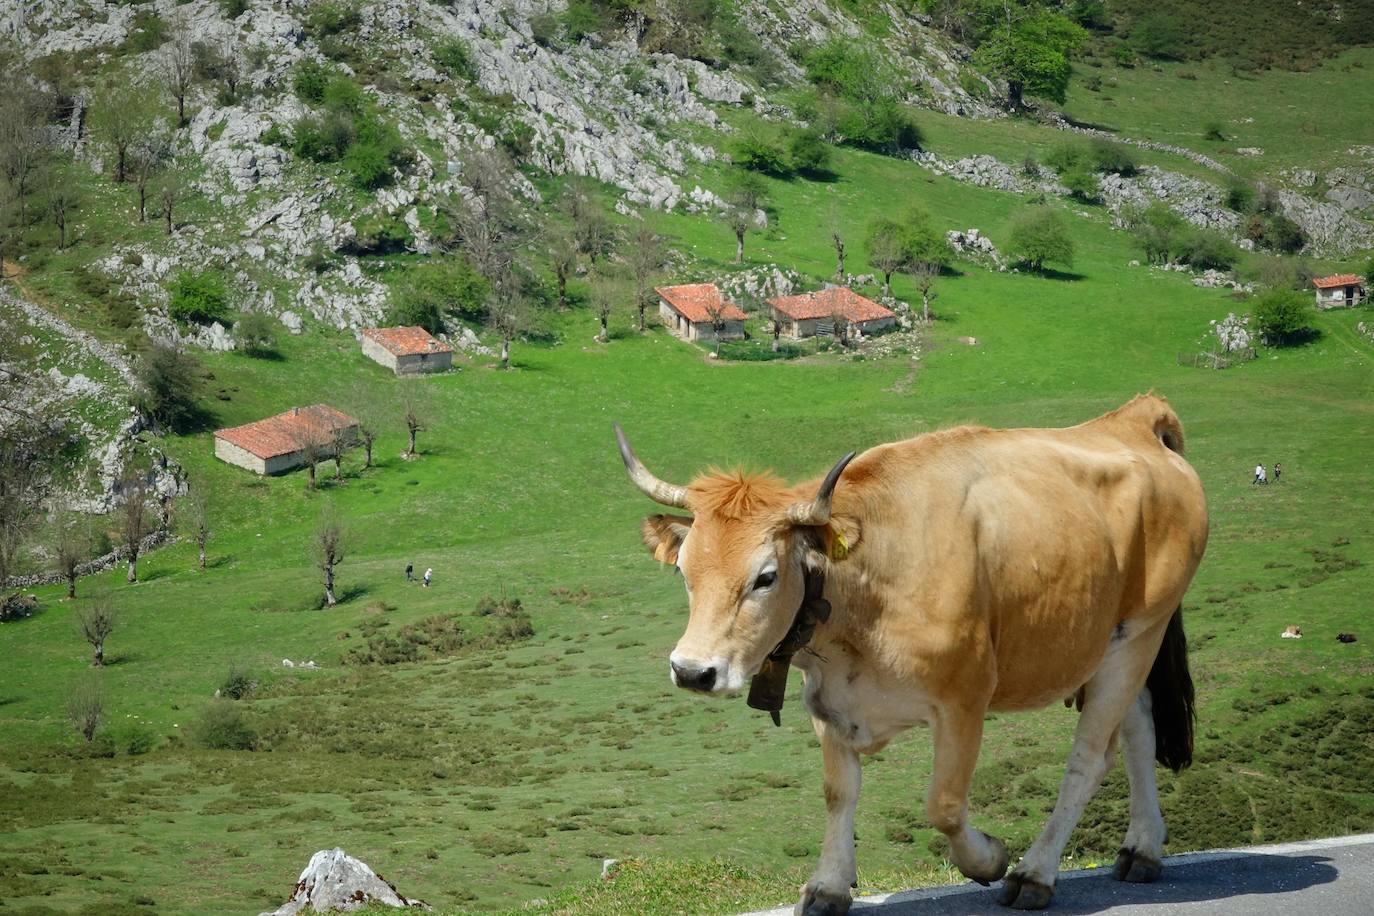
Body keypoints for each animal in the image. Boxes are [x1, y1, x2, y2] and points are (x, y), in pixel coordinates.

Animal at [618, 395, 1209, 916]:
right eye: (684, 570)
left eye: (765, 577)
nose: (692, 671)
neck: (866, 582)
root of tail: (1132, 419)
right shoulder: (829, 703)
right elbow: (838, 793)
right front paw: (828, 886)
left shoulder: (965, 698)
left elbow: (943, 805)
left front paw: (988, 859)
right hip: (1116, 645)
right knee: (1139, 730)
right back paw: (1142, 848)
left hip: (1138, 634)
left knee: (1090, 758)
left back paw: (1035, 875)